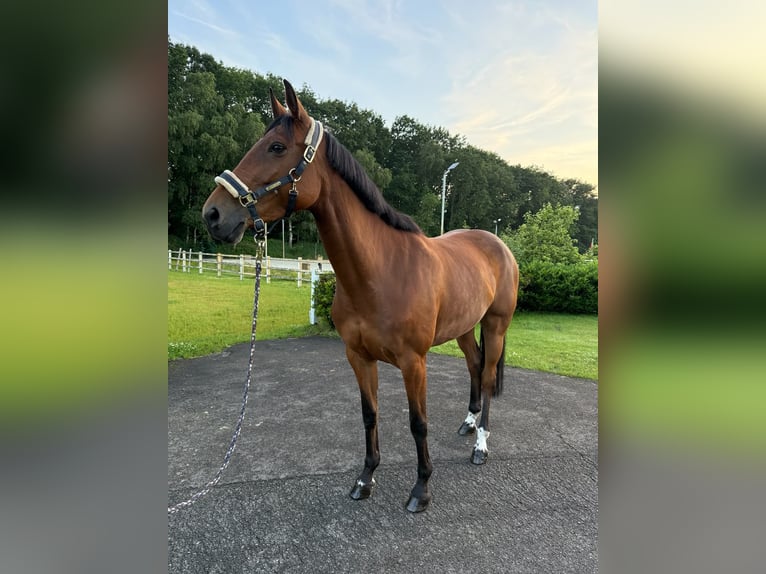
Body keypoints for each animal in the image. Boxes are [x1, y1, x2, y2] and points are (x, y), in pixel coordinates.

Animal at [202, 80, 519, 513]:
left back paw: (481, 446)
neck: (380, 272)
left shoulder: (413, 362)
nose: (213, 214)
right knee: (473, 366)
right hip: (465, 327)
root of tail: (496, 243)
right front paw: (365, 479)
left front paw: (421, 489)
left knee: (486, 378)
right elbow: (369, 415)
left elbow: (417, 423)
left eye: (277, 147)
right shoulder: (358, 356)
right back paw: (468, 425)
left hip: (496, 325)